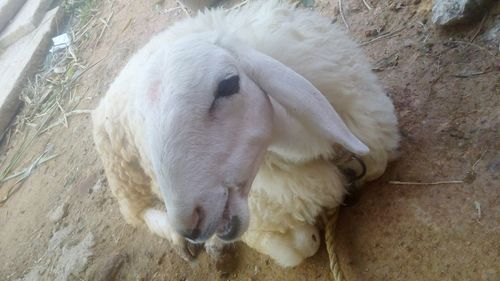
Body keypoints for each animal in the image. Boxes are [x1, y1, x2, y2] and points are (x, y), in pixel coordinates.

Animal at [93, 0, 398, 266]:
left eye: (228, 85)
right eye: (143, 121)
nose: (188, 224)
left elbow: (377, 167)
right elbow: (303, 246)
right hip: (125, 177)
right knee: (138, 214)